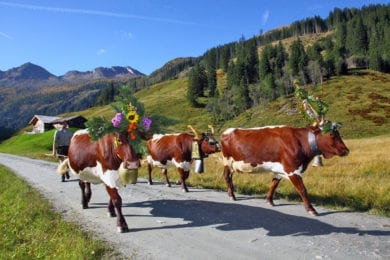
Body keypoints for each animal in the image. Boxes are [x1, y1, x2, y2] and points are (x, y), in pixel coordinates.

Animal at [219, 124, 350, 215]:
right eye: (331, 134)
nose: (346, 150)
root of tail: (227, 131)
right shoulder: (293, 170)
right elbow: (302, 189)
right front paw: (311, 209)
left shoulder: (280, 169)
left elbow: (274, 184)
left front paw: (269, 200)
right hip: (228, 162)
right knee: (227, 176)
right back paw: (232, 195)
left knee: (229, 177)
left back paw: (231, 193)